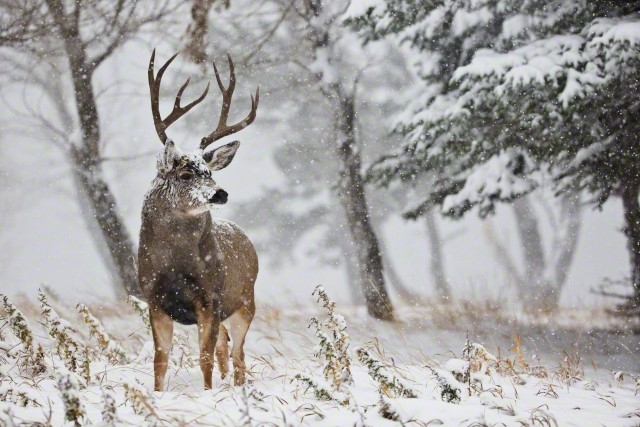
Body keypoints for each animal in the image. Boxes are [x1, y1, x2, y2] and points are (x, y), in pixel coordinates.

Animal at [139, 49, 258, 392]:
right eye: (185, 174)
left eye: (210, 172)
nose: (220, 193)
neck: (176, 266)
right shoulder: (154, 299)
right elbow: (160, 361)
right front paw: (157, 395)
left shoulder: (211, 300)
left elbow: (204, 358)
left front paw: (207, 394)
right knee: (225, 350)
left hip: (245, 302)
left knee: (238, 355)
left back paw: (238, 388)